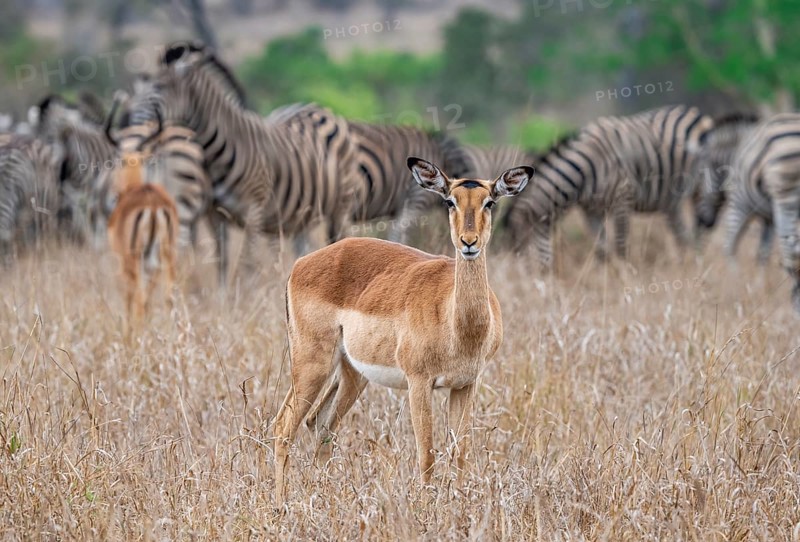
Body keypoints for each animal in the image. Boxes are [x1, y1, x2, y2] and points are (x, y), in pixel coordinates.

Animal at [105, 101, 178, 324]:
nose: (112, 191)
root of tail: (152, 204)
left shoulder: (123, 261)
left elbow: (130, 302)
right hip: (166, 255)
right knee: (168, 298)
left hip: (135, 259)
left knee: (138, 299)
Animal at [273, 156, 532, 506]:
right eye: (450, 201)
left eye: (489, 202)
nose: (469, 243)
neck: (456, 324)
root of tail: (301, 263)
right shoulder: (419, 382)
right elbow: (427, 455)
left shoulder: (465, 385)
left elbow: (460, 453)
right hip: (312, 364)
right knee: (284, 427)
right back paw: (278, 504)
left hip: (350, 374)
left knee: (320, 425)